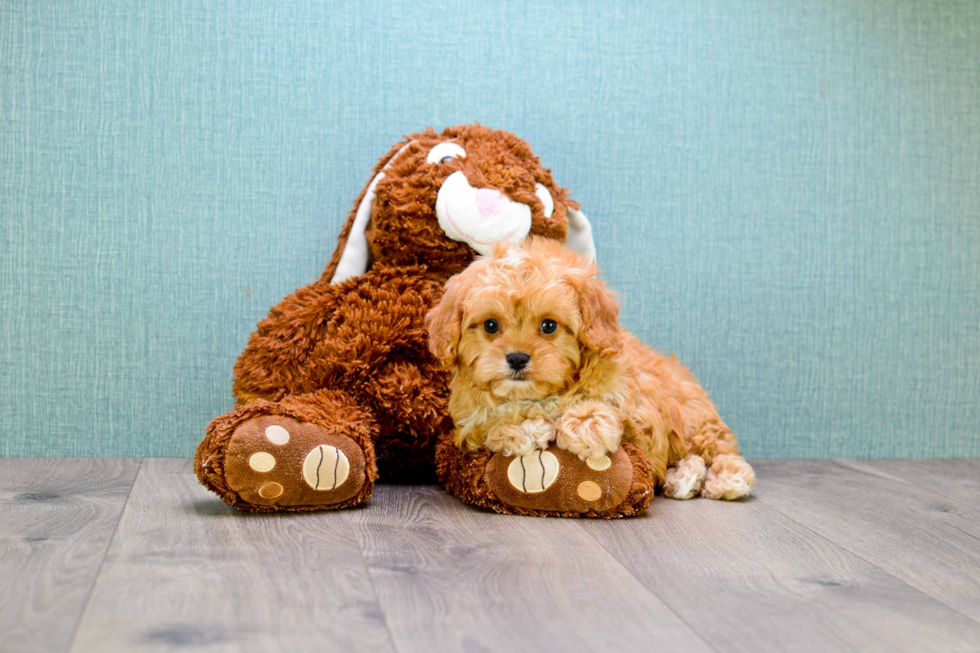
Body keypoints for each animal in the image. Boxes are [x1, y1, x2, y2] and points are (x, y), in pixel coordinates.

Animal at [424, 237, 756, 496]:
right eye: (491, 325)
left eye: (549, 326)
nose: (517, 358)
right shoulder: (465, 424)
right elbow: (488, 423)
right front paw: (522, 427)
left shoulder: (642, 418)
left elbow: (610, 411)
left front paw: (586, 424)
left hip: (693, 418)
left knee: (720, 450)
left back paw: (720, 478)